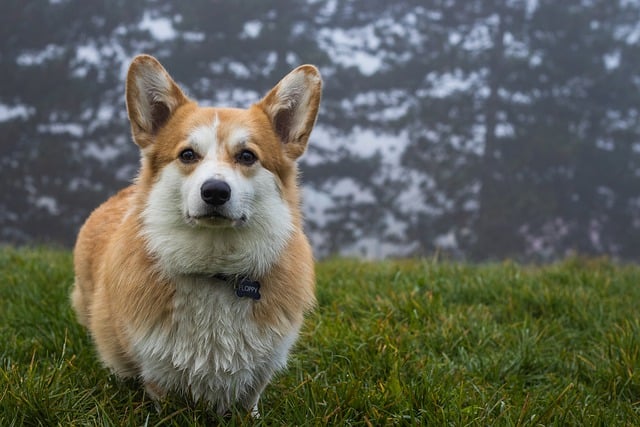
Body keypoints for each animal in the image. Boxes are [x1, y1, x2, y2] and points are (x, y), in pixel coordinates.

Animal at [71, 52, 320, 414]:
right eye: (188, 154)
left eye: (247, 156)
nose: (215, 191)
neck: (214, 269)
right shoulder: (157, 374)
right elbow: (164, 400)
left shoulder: (260, 373)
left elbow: (250, 401)